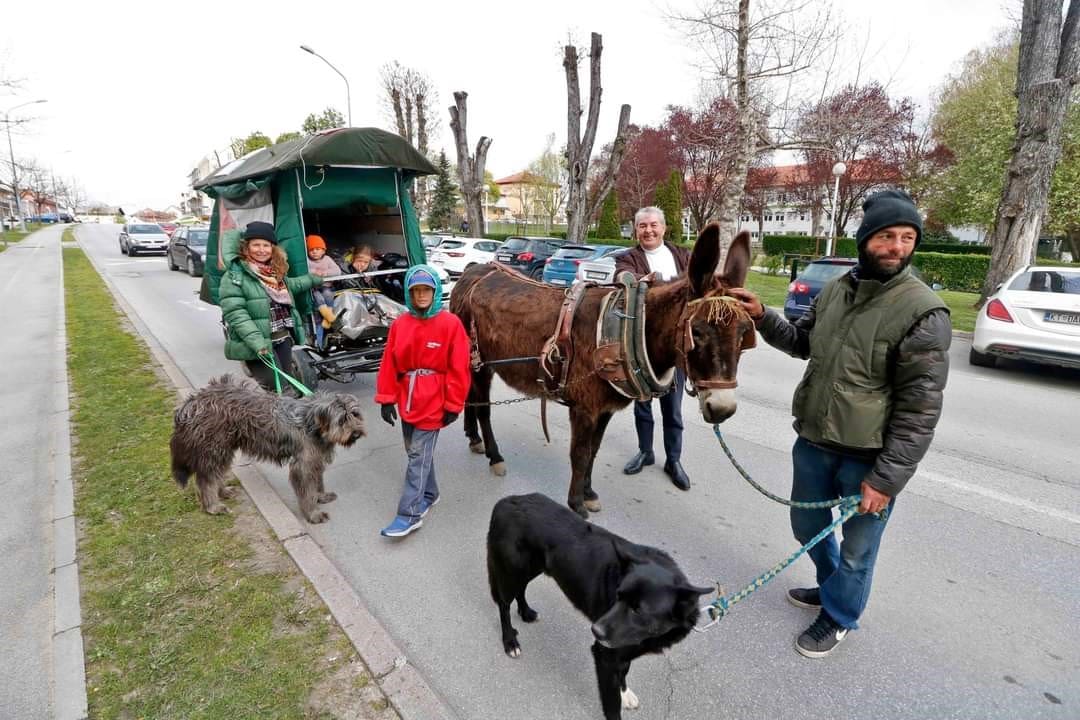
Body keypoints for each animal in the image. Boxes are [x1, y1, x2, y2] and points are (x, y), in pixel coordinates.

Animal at [170, 377, 367, 524]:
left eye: (355, 414)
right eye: (341, 420)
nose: (356, 433)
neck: (311, 422)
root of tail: (192, 403)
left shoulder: (315, 459)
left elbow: (317, 481)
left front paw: (321, 496)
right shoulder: (303, 465)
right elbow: (306, 490)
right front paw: (313, 513)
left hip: (223, 448)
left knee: (214, 473)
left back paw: (222, 492)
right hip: (215, 448)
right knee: (206, 479)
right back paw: (213, 506)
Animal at [488, 496, 708, 720]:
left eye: (638, 610)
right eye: (618, 596)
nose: (595, 630)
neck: (651, 634)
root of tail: (506, 501)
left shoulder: (620, 649)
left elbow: (624, 670)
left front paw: (624, 692)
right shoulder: (604, 655)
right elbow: (612, 706)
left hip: (531, 568)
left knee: (521, 589)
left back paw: (526, 613)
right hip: (511, 570)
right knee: (504, 605)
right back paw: (510, 641)